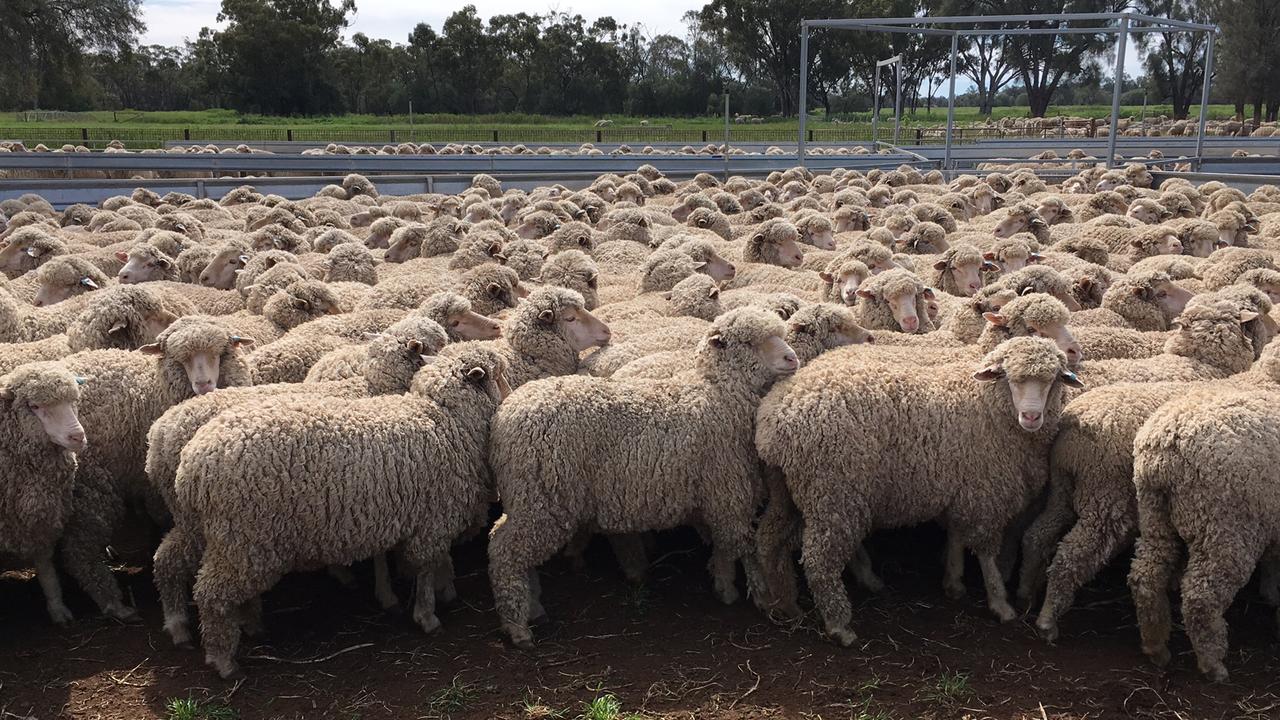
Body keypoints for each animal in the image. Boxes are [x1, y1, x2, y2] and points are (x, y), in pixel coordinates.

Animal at [0, 361, 87, 620]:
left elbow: (47, 567)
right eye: (35, 406)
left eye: (73, 401)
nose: (77, 437)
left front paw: (58, 608)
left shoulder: (42, 519)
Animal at [179, 345, 504, 676]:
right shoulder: (433, 521)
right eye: (499, 373)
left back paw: (250, 625)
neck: (447, 419)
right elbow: (427, 568)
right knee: (210, 594)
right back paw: (222, 660)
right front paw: (428, 615)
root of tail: (191, 464)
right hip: (244, 537)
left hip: (230, 541)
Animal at [488, 304, 798, 648]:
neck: (719, 394)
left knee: (507, 543)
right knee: (504, 551)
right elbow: (744, 546)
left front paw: (724, 584)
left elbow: (724, 545)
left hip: (527, 497)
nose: (792, 358)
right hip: (542, 499)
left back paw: (531, 606)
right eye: (749, 342)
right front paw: (761, 597)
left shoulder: (718, 496)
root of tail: (506, 413)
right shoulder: (729, 491)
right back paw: (517, 626)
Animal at [752, 335, 1085, 638]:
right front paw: (1000, 603)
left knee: (768, 538)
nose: (1031, 416)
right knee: (819, 558)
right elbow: (986, 554)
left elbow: (956, 534)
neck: (986, 404)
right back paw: (838, 625)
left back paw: (783, 603)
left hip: (795, 489)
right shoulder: (984, 493)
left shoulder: (961, 486)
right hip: (832, 489)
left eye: (1052, 380)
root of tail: (775, 420)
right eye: (1010, 378)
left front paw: (953, 581)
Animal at [1131, 386, 1280, 676]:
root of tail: (1167, 445)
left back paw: (1156, 647)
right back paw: (1212, 664)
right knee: (1201, 597)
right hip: (1226, 527)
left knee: (1146, 576)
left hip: (1154, 514)